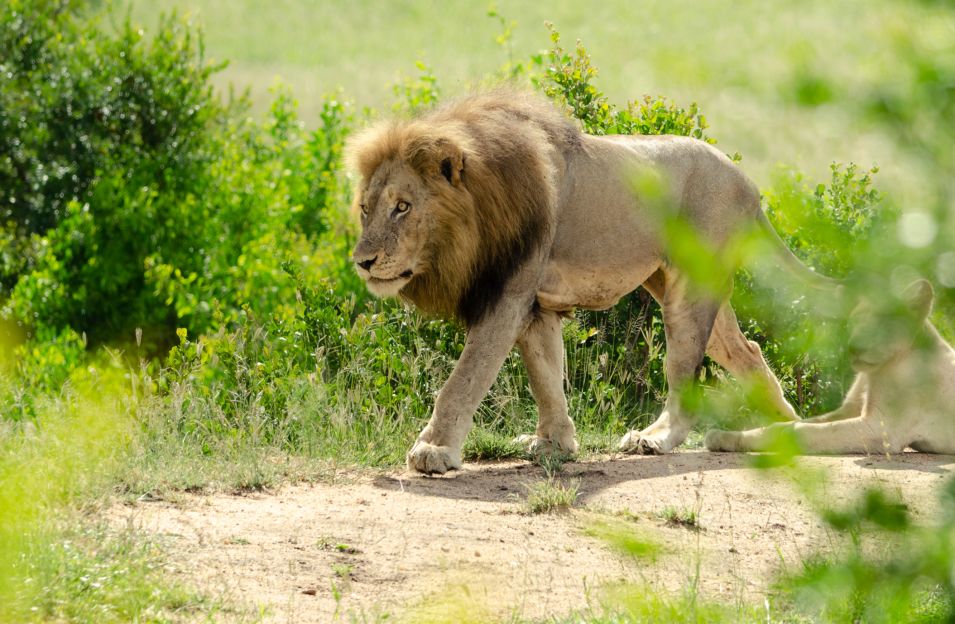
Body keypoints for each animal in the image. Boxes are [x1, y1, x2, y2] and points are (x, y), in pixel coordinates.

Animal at [346, 90, 832, 474]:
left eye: (403, 207)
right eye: (366, 209)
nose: (363, 262)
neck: (479, 210)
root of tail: (746, 182)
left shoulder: (508, 295)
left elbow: (466, 377)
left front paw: (433, 449)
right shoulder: (535, 306)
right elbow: (546, 376)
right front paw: (553, 443)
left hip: (689, 290)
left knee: (684, 372)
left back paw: (656, 438)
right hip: (683, 286)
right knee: (745, 349)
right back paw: (787, 425)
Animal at [706, 279, 955, 455]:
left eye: (880, 323)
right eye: (855, 321)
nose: (853, 347)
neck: (876, 371)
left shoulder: (880, 429)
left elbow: (804, 430)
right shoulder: (849, 410)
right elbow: (804, 423)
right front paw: (721, 437)